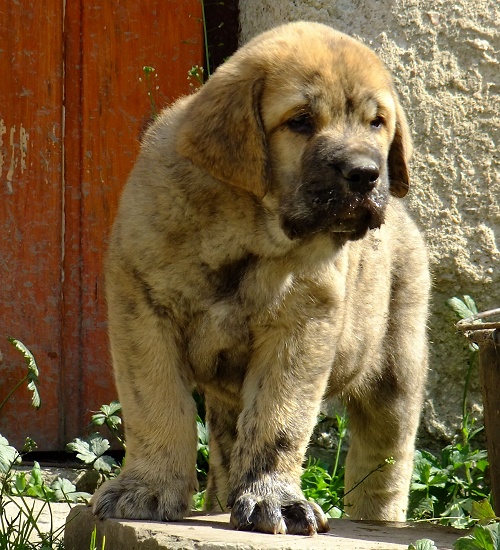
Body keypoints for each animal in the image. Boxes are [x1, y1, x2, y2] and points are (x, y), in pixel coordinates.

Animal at [91, 22, 430, 540]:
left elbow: (278, 422)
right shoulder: (143, 312)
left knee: (385, 461)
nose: (367, 174)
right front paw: (147, 489)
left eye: (377, 123)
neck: (244, 232)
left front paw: (276, 500)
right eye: (301, 121)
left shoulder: (302, 329)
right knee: (228, 446)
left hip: (397, 368)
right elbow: (158, 408)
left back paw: (378, 520)